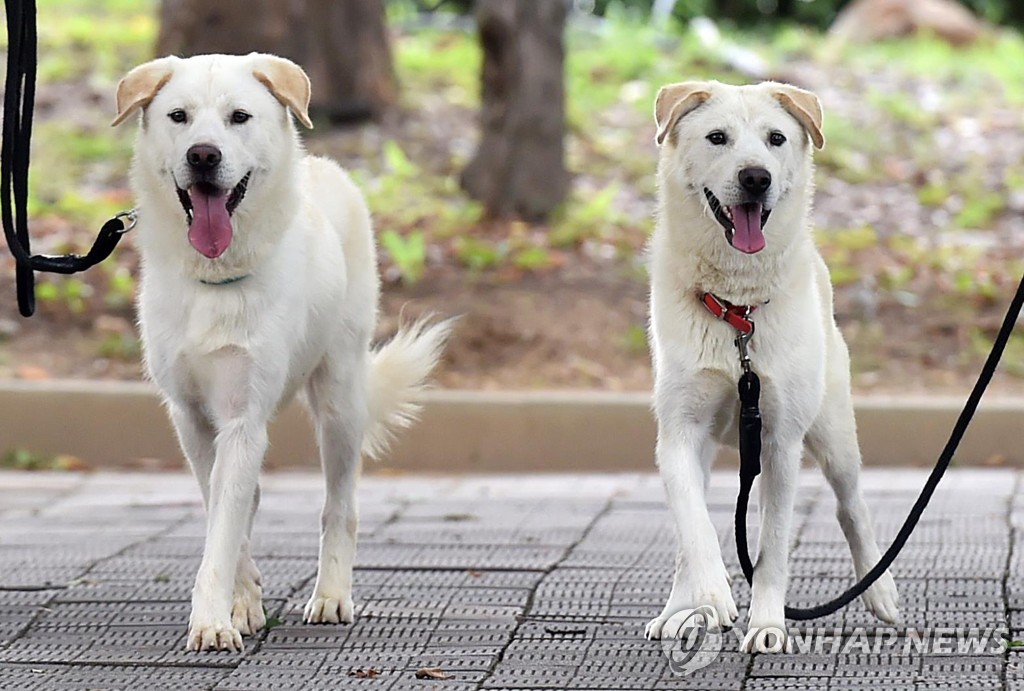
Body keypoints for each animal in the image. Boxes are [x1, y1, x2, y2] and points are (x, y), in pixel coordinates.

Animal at [112, 55, 448, 655]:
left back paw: (331, 596)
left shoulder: (242, 418)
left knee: (340, 506)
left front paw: (212, 621)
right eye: (179, 116)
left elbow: (223, 531)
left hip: (340, 404)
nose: (203, 155)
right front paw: (241, 604)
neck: (215, 280)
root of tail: (326, 168)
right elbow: (226, 518)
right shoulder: (194, 420)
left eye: (239, 117)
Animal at [643, 80, 901, 655]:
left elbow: (773, 547)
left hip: (832, 433)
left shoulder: (780, 442)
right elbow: (694, 528)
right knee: (686, 531)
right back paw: (677, 611)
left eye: (776, 139)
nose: (755, 177)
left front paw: (766, 624)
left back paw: (880, 591)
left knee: (852, 507)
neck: (737, 311)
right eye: (717, 138)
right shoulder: (679, 435)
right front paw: (710, 600)